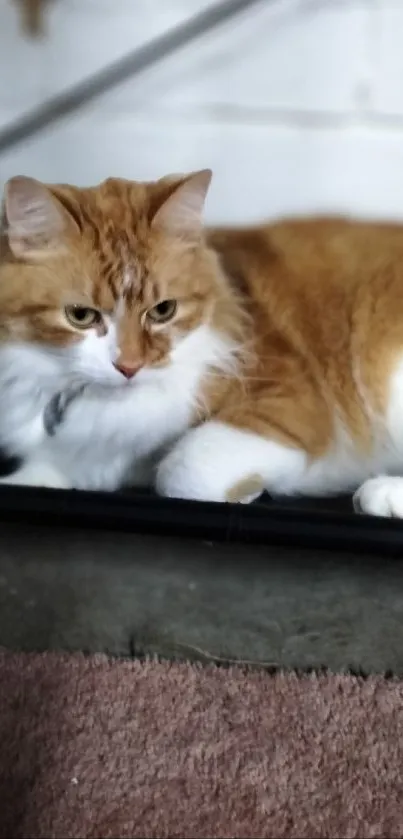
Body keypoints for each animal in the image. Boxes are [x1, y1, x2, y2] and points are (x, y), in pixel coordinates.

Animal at [0, 170, 403, 516]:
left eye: (163, 310)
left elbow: (182, 469)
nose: (129, 367)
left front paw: (250, 490)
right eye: (81, 316)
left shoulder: (285, 402)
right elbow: (39, 477)